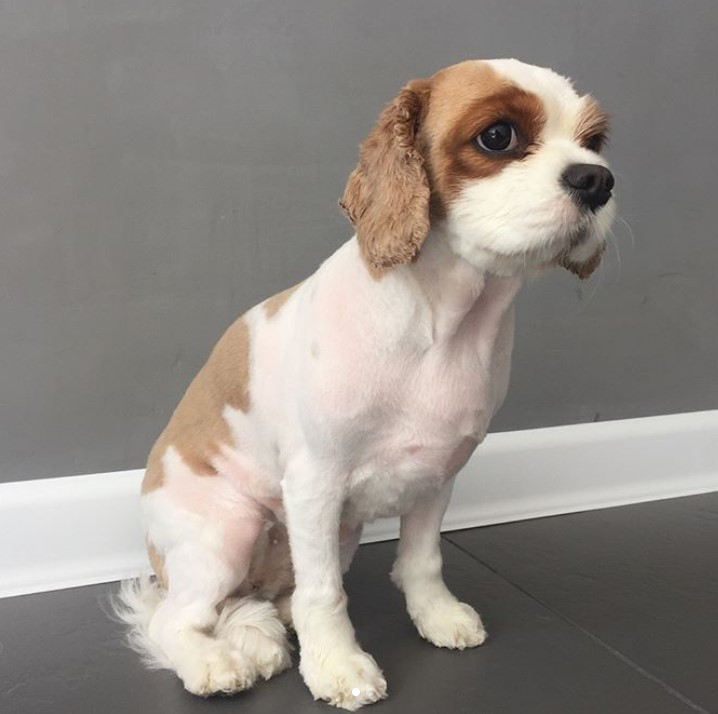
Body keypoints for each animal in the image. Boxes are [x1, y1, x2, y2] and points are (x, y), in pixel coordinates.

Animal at [118, 57, 620, 708]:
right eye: (497, 135)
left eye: (594, 141)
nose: (597, 181)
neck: (446, 322)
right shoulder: (315, 482)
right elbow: (324, 593)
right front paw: (339, 667)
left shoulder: (438, 473)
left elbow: (421, 561)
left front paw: (438, 617)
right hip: (230, 530)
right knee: (174, 618)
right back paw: (213, 662)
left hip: (337, 535)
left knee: (263, 603)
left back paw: (262, 635)